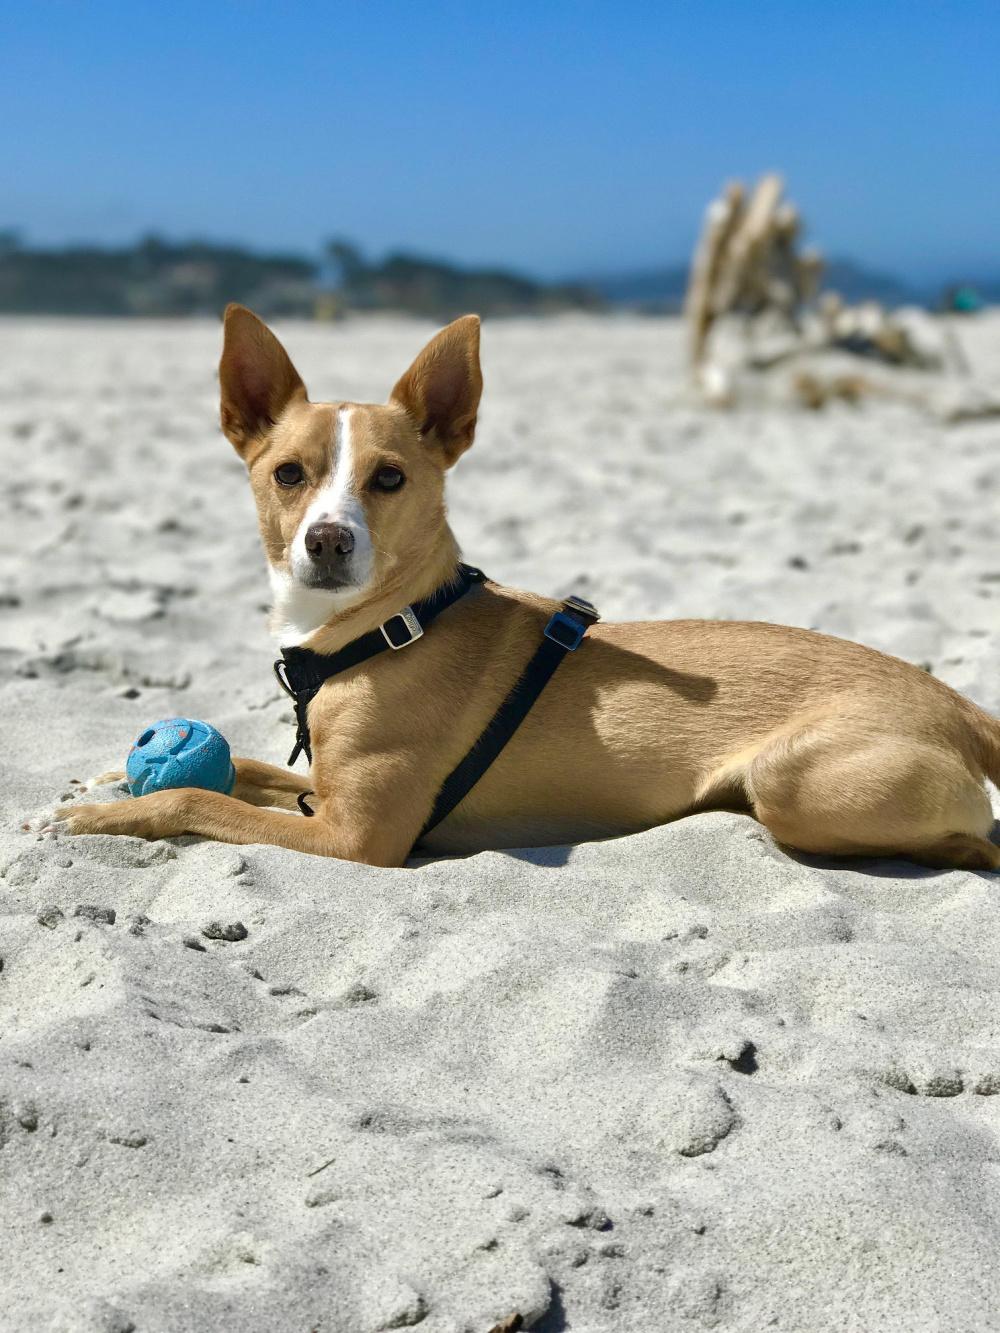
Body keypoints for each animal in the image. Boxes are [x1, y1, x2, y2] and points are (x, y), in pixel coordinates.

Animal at [54, 305, 1000, 869]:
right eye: (288, 473)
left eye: (389, 478)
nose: (326, 540)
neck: (392, 626)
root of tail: (952, 698)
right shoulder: (320, 789)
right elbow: (241, 767)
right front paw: (105, 781)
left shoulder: (357, 836)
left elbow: (191, 795)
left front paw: (98, 819)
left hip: (794, 780)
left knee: (976, 840)